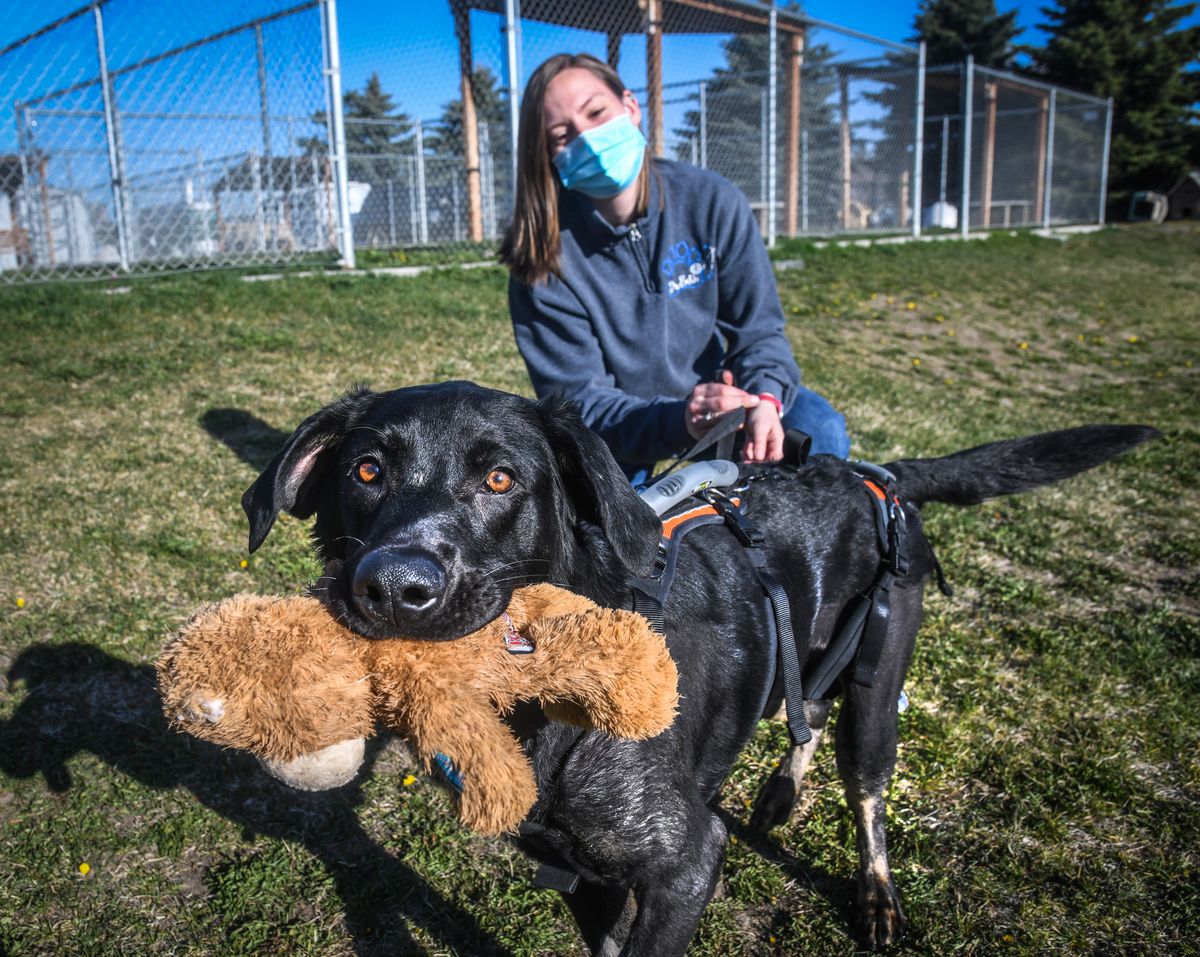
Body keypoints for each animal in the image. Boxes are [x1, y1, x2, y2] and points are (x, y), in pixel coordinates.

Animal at [241, 383, 1152, 957]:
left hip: (876, 684)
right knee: (804, 712)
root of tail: (874, 473)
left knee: (867, 791)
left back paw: (876, 896)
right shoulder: (585, 874)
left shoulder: (684, 863)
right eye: (366, 471)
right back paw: (780, 793)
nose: (395, 585)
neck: (539, 711)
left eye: (499, 478)